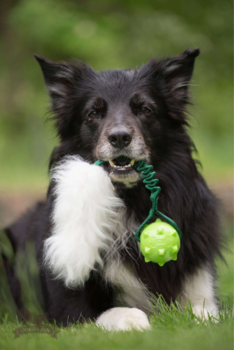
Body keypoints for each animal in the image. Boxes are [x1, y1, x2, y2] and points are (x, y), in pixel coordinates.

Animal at [2, 49, 221, 330]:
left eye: (145, 109)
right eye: (93, 113)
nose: (119, 137)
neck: (131, 202)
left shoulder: (201, 289)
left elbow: (205, 316)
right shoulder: (69, 309)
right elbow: (123, 312)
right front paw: (140, 323)